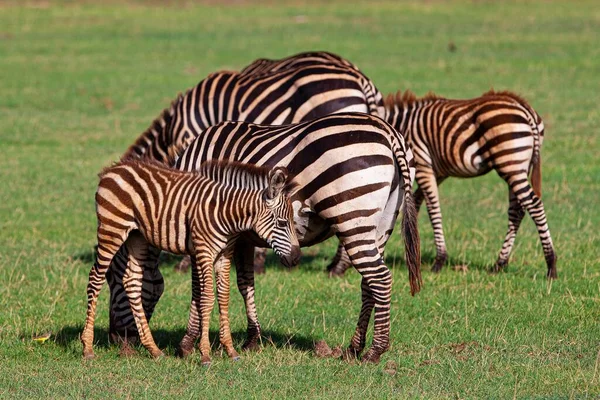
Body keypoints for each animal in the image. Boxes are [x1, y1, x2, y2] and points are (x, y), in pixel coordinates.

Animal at [81, 159, 300, 362]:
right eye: (282, 223)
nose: (296, 258)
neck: (226, 213)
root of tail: (114, 168)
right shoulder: (204, 251)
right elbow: (207, 298)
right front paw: (205, 354)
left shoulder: (224, 254)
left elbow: (224, 297)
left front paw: (230, 350)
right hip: (112, 229)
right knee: (95, 277)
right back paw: (88, 348)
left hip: (137, 236)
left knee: (131, 280)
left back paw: (154, 349)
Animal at [328, 89, 556, 278]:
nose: (332, 269)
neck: (398, 128)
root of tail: (524, 108)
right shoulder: (437, 172)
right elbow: (414, 206)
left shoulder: (422, 166)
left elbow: (433, 209)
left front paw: (439, 260)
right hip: (517, 166)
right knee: (517, 211)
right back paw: (499, 263)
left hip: (510, 162)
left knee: (534, 205)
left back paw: (550, 264)